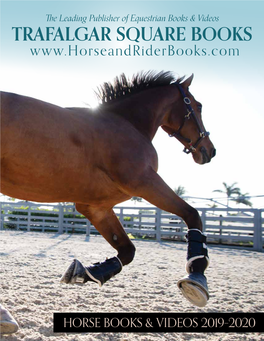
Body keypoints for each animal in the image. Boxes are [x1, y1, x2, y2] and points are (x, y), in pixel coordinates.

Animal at [0, 71, 216, 332]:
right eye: (199, 106)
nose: (209, 151)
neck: (126, 124)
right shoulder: (145, 182)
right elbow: (192, 215)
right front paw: (196, 279)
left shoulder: (97, 208)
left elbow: (127, 250)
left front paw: (84, 272)